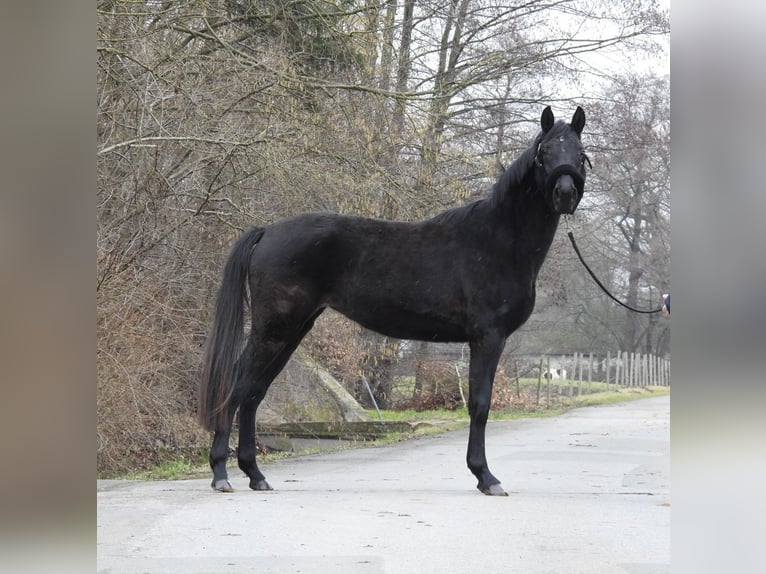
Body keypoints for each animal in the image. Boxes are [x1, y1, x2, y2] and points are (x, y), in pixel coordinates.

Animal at [198, 106, 588, 496]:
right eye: (544, 152)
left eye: (580, 153)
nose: (565, 193)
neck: (498, 240)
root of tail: (267, 232)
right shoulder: (488, 337)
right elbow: (480, 405)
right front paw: (486, 477)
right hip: (275, 328)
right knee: (239, 388)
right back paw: (221, 474)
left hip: (292, 331)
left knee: (253, 391)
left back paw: (255, 474)